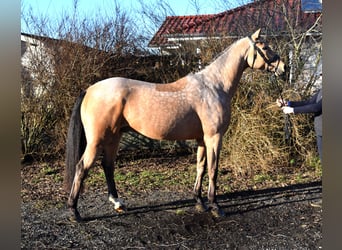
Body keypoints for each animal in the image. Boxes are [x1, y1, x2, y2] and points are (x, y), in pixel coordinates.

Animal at [63, 28, 286, 222]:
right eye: (265, 46)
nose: (284, 68)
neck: (214, 86)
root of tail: (90, 89)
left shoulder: (202, 139)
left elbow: (200, 167)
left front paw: (199, 202)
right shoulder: (214, 137)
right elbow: (213, 169)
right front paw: (215, 206)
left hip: (114, 137)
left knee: (108, 166)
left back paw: (118, 203)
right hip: (97, 140)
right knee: (82, 167)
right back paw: (74, 212)